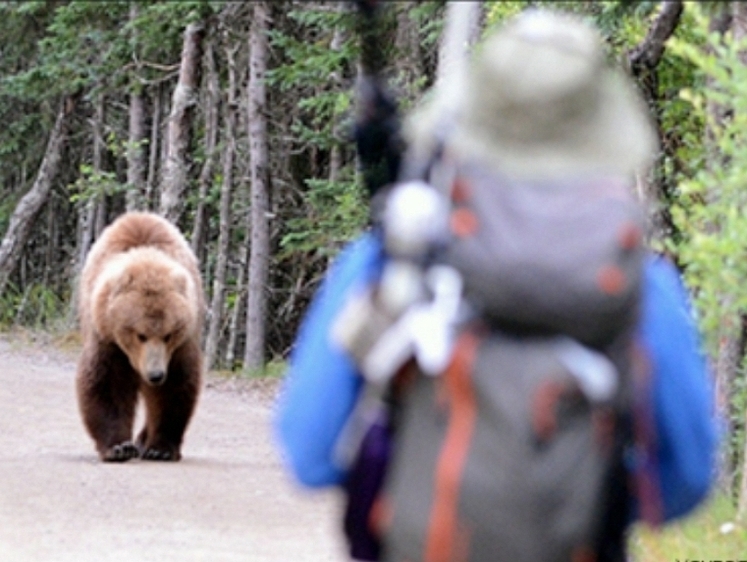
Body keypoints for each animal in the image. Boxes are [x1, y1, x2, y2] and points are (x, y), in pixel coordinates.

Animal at [75, 210, 205, 460]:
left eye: (169, 334)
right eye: (140, 335)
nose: (155, 375)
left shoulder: (179, 347)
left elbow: (173, 387)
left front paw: (160, 448)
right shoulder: (107, 337)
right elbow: (107, 383)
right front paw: (118, 447)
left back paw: (144, 440)